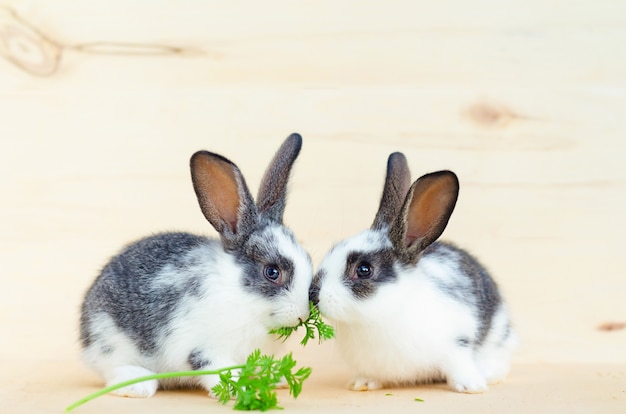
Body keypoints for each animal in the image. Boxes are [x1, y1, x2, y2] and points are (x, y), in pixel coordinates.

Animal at [80, 133, 312, 398]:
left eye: (308, 259)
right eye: (272, 272)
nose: (302, 315)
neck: (242, 296)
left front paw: (275, 380)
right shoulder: (205, 350)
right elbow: (220, 372)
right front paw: (240, 390)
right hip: (110, 341)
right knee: (113, 372)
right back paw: (138, 386)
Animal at [310, 153, 516, 394]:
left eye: (364, 269)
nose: (313, 295)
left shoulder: (457, 343)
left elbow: (459, 364)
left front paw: (471, 386)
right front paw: (361, 383)